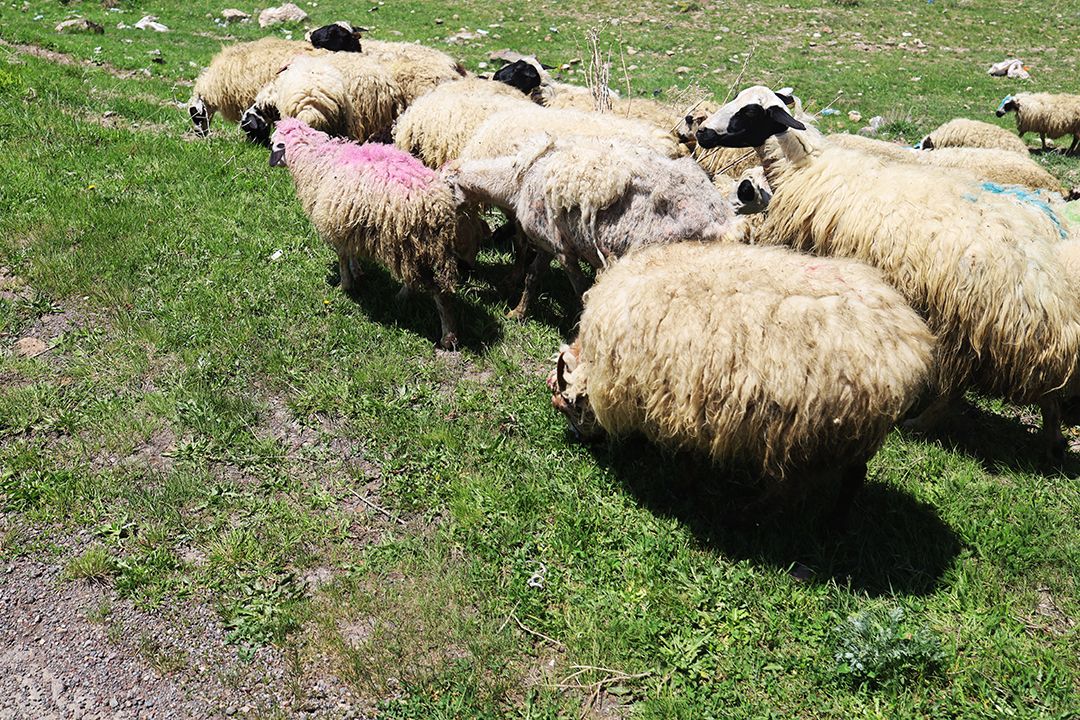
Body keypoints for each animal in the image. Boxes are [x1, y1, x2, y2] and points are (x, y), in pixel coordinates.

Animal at [269, 118, 477, 349]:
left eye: (274, 144)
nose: (271, 163)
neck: (316, 162)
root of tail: (438, 205)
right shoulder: (347, 223)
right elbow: (350, 252)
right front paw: (357, 271)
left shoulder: (334, 223)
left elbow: (342, 257)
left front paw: (345, 285)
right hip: (418, 248)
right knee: (416, 279)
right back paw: (402, 297)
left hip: (419, 247)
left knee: (439, 293)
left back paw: (448, 337)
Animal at [445, 133, 734, 317]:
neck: (518, 181)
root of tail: (720, 221)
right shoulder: (550, 242)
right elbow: (533, 276)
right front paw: (517, 313)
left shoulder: (564, 250)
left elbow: (579, 288)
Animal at [548, 241, 936, 527]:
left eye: (569, 405)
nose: (580, 440)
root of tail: (906, 343)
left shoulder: (675, 403)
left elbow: (684, 455)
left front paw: (683, 483)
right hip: (848, 435)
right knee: (850, 475)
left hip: (813, 437)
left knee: (808, 485)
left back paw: (794, 519)